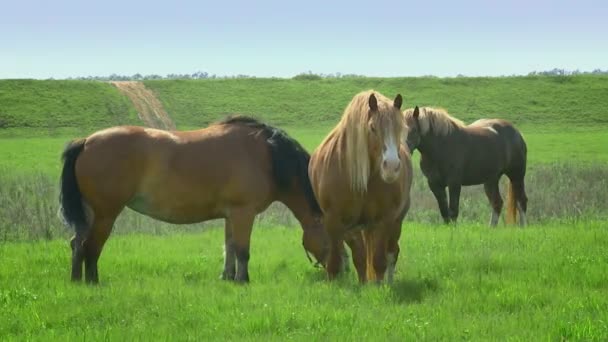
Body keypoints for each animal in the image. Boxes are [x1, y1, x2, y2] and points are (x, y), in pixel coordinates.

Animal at [58, 116, 328, 284]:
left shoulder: (231, 216)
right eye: (333, 239)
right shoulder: (243, 213)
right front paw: (243, 280)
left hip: (89, 214)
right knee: (91, 247)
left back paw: (76, 280)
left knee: (77, 243)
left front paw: (228, 278)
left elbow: (229, 247)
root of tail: (86, 142)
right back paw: (92, 282)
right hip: (106, 214)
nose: (334, 272)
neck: (266, 156)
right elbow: (242, 250)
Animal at [308, 90, 414, 284]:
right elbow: (340, 262)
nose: (392, 167)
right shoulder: (335, 221)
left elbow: (379, 261)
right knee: (362, 255)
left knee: (392, 253)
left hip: (395, 223)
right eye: (372, 128)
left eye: (400, 128)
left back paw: (389, 281)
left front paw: (379, 286)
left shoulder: (385, 220)